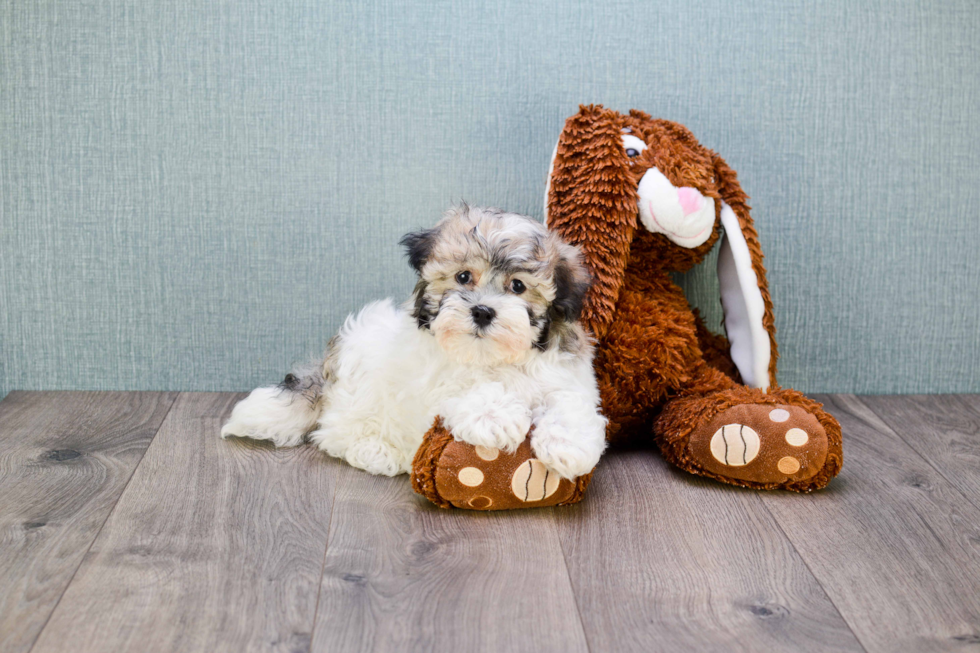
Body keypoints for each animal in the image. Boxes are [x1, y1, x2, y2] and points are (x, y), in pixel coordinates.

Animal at [221, 204, 604, 478]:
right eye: (463, 277)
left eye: (518, 286)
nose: (482, 311)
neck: (489, 356)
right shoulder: (434, 380)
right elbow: (465, 389)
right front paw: (496, 417)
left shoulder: (566, 374)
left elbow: (569, 402)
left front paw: (570, 446)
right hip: (361, 386)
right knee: (334, 432)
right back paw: (377, 452)